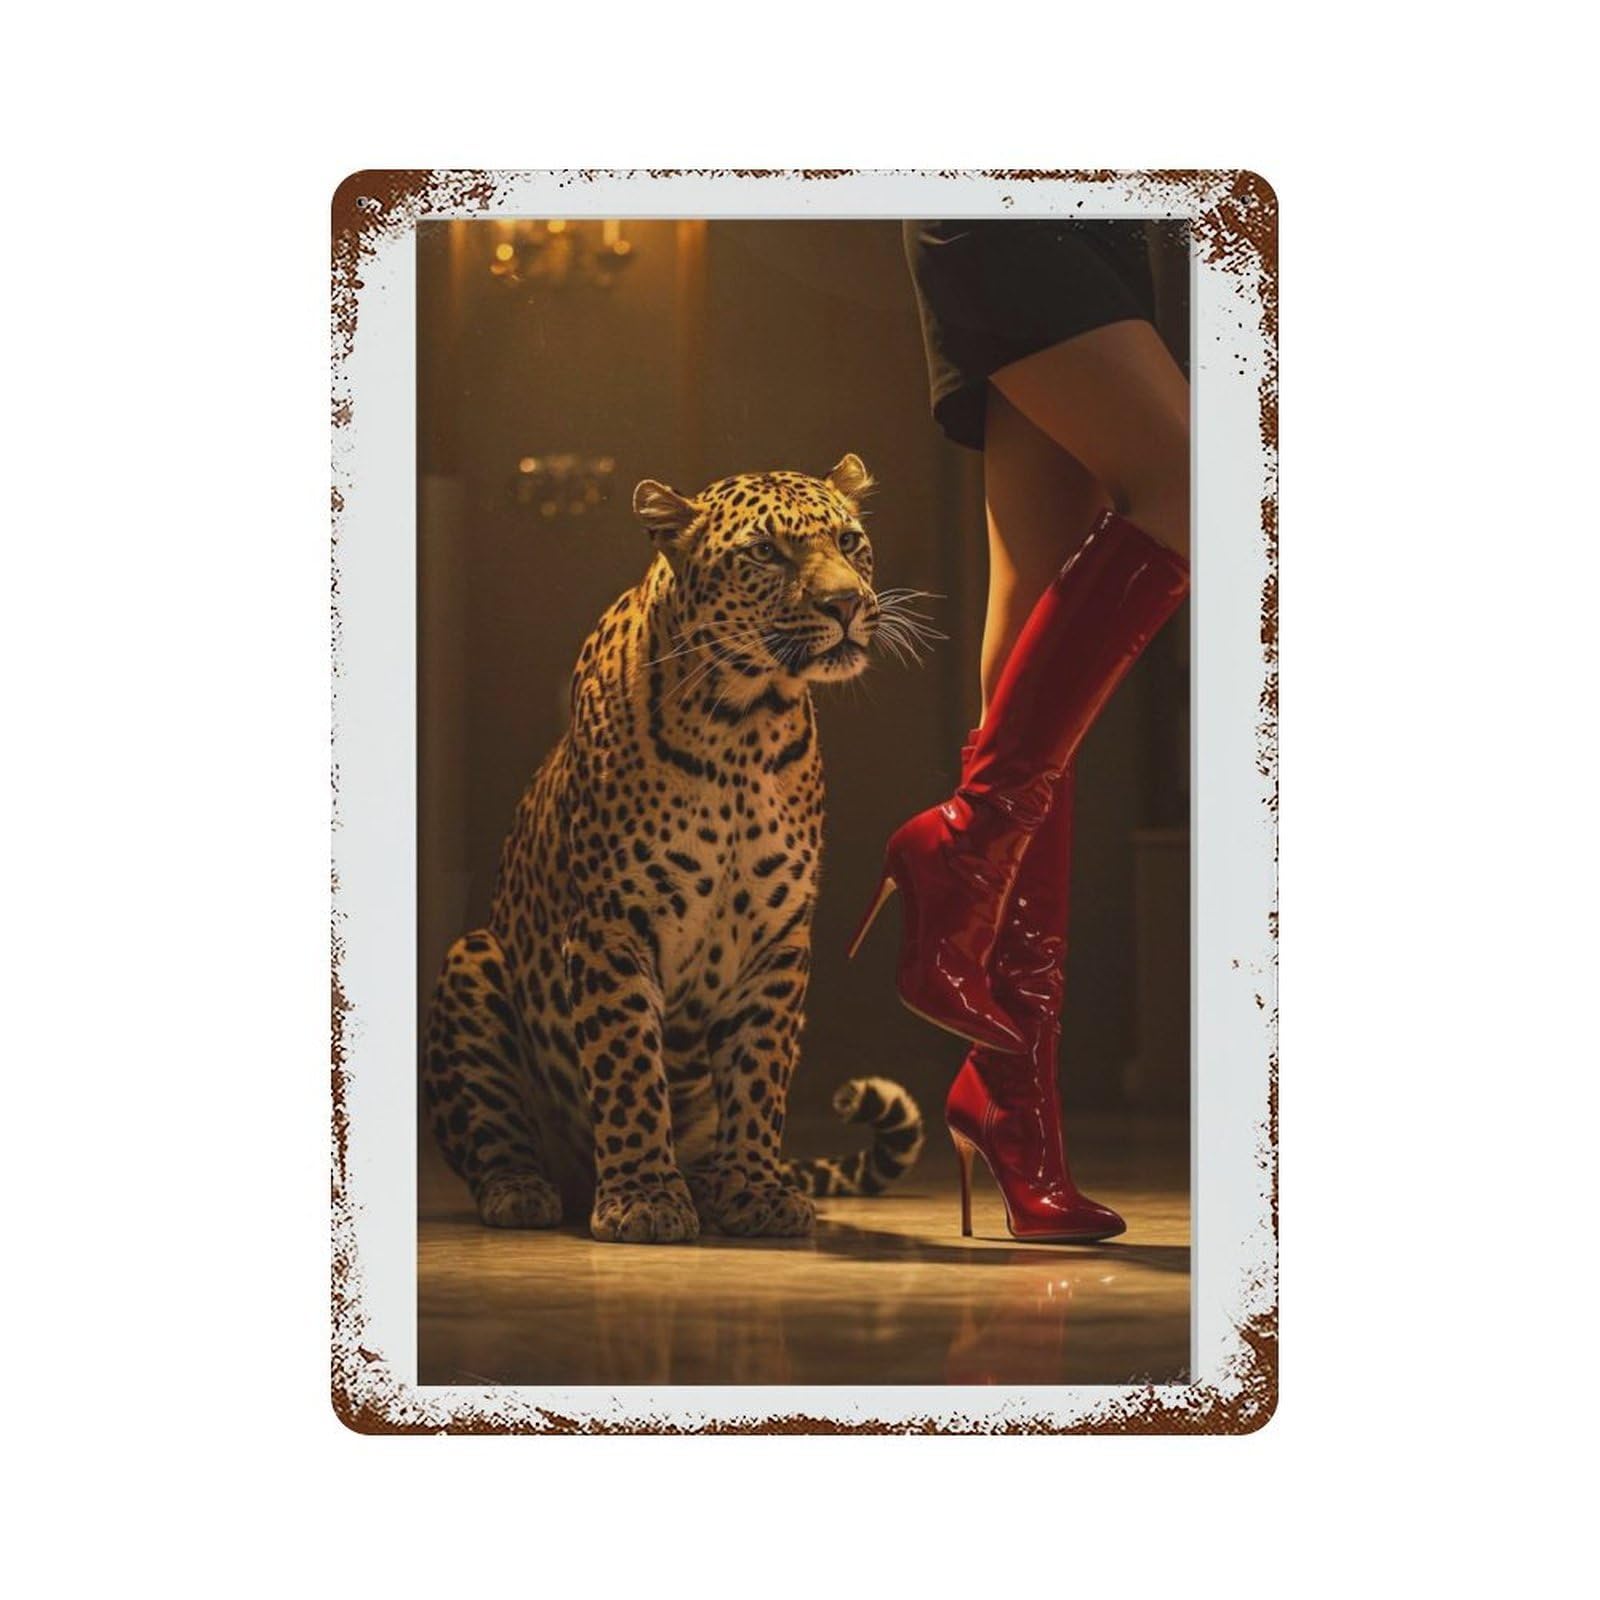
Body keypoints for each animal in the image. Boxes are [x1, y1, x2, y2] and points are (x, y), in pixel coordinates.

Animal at [423, 455, 927, 1244]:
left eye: (849, 541)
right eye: (765, 553)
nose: (847, 603)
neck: (745, 723)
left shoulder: (777, 939)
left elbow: (757, 1077)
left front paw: (756, 1190)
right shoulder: (611, 926)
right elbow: (628, 1068)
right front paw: (644, 1200)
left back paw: (725, 1183)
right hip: (470, 962)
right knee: (495, 1136)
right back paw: (523, 1190)